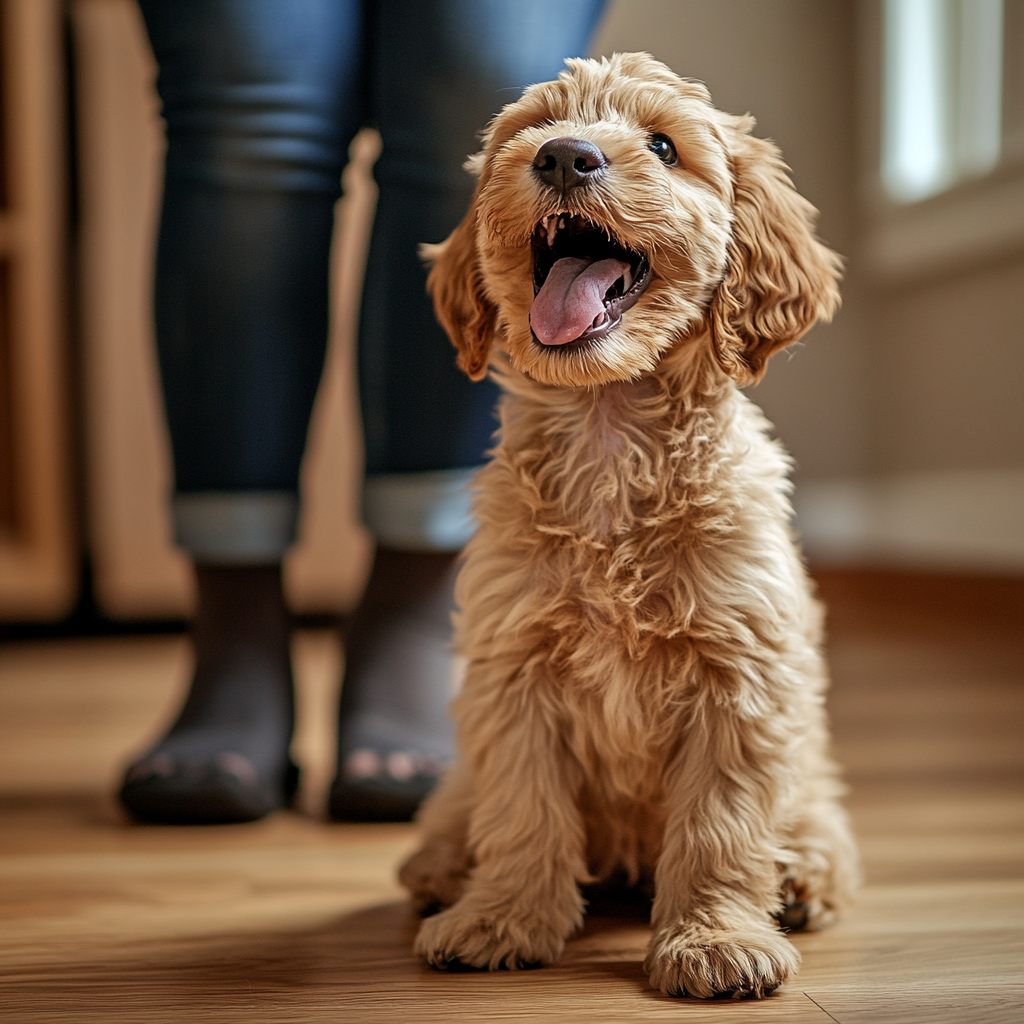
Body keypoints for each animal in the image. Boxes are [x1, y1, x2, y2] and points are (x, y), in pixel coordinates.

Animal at [397, 51, 856, 995]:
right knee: (460, 808)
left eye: (664, 146)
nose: (565, 156)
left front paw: (714, 940)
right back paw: (440, 872)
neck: (609, 431)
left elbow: (721, 826)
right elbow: (522, 807)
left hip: (810, 770)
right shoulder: (515, 668)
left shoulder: (739, 674)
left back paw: (800, 879)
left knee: (820, 825)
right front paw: (503, 919)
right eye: (535, 127)